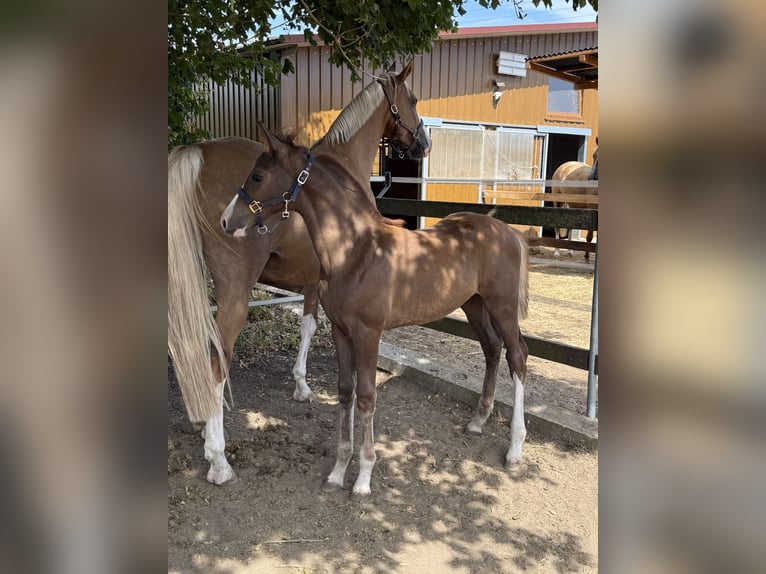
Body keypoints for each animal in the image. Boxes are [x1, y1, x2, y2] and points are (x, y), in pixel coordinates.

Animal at [168, 61, 430, 485]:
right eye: (414, 99)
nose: (423, 144)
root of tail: (199, 151)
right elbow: (311, 328)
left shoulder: (312, 279)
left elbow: (306, 324)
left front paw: (301, 385)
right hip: (233, 291)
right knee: (216, 358)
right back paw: (218, 458)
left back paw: (203, 419)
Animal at [221, 123, 530, 498]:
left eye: (258, 175)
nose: (225, 220)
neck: (354, 251)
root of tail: (510, 232)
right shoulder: (340, 331)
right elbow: (345, 392)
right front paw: (338, 471)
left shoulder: (368, 334)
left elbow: (367, 397)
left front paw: (363, 477)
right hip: (474, 304)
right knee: (492, 349)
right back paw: (478, 421)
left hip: (502, 306)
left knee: (517, 356)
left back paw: (515, 449)